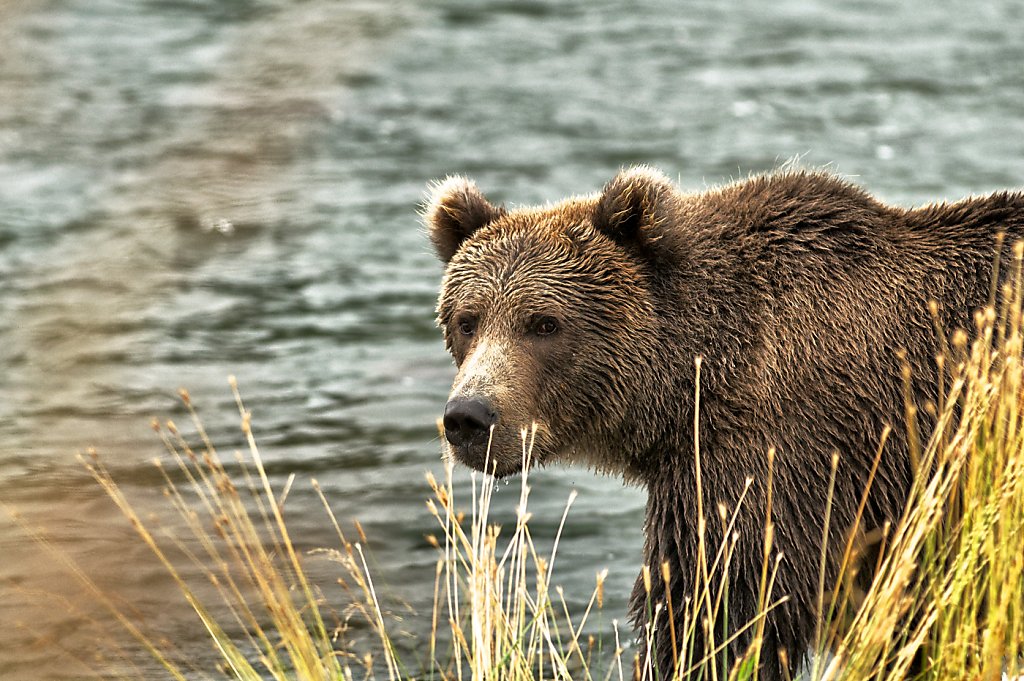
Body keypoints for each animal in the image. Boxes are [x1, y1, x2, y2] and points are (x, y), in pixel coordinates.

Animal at [421, 165, 1024, 679]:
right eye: (467, 320)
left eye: (544, 323)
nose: (469, 417)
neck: (693, 379)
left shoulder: (779, 456)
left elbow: (715, 606)